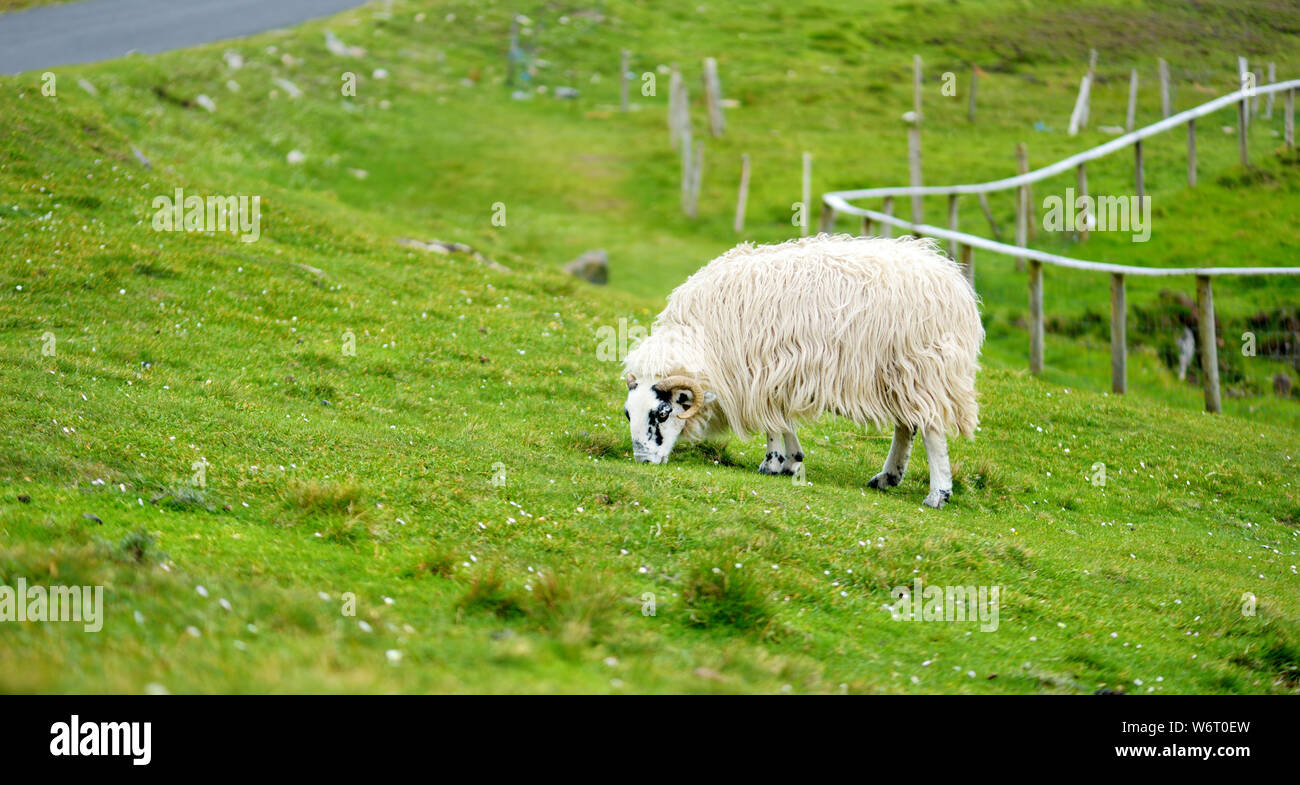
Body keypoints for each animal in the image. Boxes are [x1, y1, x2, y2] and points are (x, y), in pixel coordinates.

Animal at [621, 234, 984, 508]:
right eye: (628, 414)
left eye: (663, 413)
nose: (643, 462)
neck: (703, 337)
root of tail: (950, 277)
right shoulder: (779, 370)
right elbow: (783, 419)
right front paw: (793, 459)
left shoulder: (758, 372)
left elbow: (771, 422)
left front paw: (772, 462)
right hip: (898, 375)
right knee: (907, 425)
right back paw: (888, 477)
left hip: (925, 369)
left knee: (932, 429)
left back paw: (938, 494)